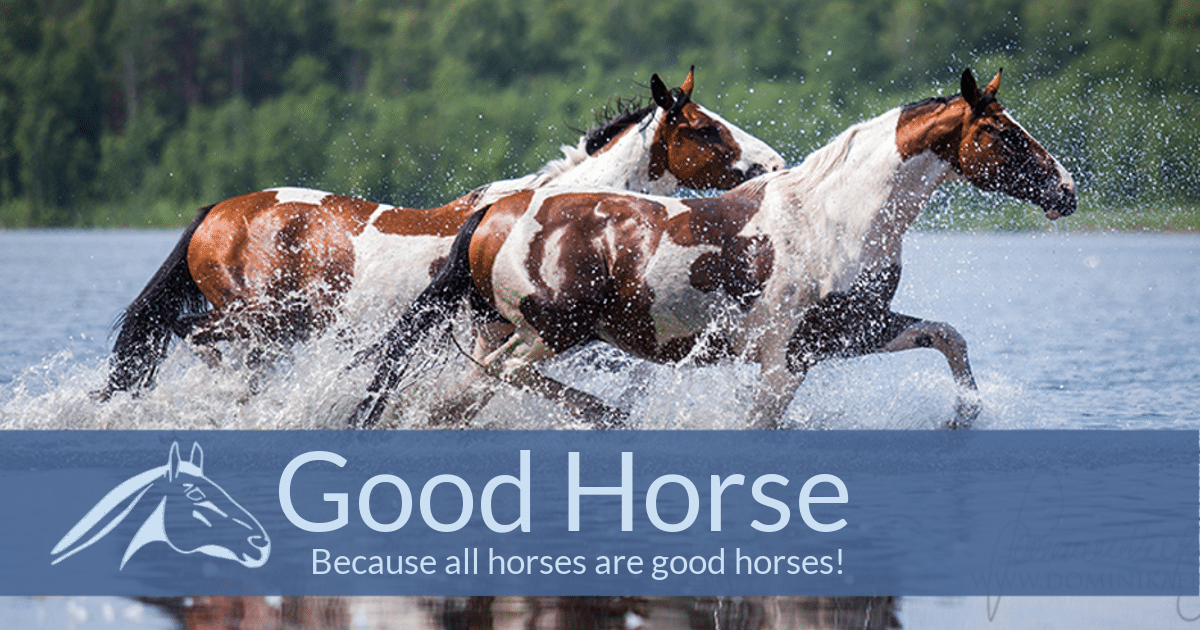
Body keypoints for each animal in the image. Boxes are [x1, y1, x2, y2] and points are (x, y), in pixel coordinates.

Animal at [98, 68, 785, 401]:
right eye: (705, 129)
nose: (775, 164)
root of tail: (218, 211)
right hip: (261, 317)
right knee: (197, 335)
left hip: (278, 327)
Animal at [353, 68, 1076, 429]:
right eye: (1005, 134)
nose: (1066, 189)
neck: (838, 218)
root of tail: (494, 211)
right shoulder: (786, 359)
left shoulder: (847, 331)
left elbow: (948, 336)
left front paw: (966, 414)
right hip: (550, 333)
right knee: (507, 377)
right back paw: (607, 415)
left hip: (501, 333)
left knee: (457, 399)